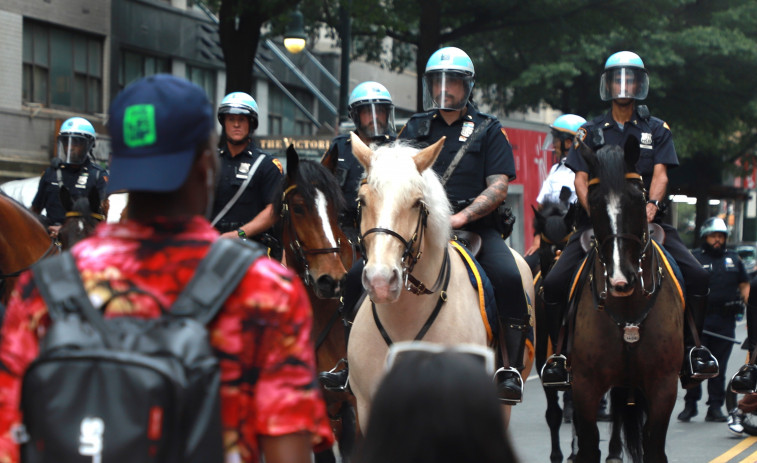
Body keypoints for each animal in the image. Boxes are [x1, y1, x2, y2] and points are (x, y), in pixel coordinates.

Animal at [568, 136, 684, 462]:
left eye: (636, 199)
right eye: (595, 202)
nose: (621, 279)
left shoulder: (663, 386)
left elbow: (654, 448)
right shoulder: (584, 386)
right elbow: (587, 446)